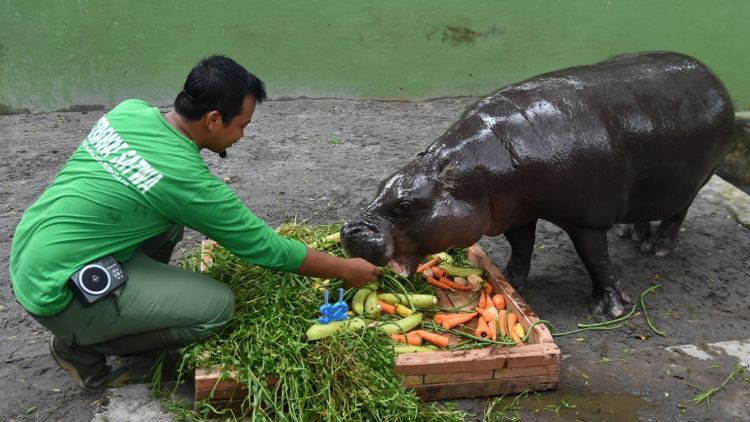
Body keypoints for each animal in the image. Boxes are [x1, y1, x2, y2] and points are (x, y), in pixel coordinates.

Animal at [344, 52, 736, 316]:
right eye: (382, 184)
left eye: (405, 206)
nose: (349, 230)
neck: (479, 171)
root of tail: (713, 76)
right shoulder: (515, 210)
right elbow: (521, 247)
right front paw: (509, 281)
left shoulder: (587, 218)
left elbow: (597, 260)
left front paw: (609, 309)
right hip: (654, 186)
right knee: (648, 210)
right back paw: (633, 235)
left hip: (696, 180)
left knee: (677, 214)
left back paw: (658, 249)